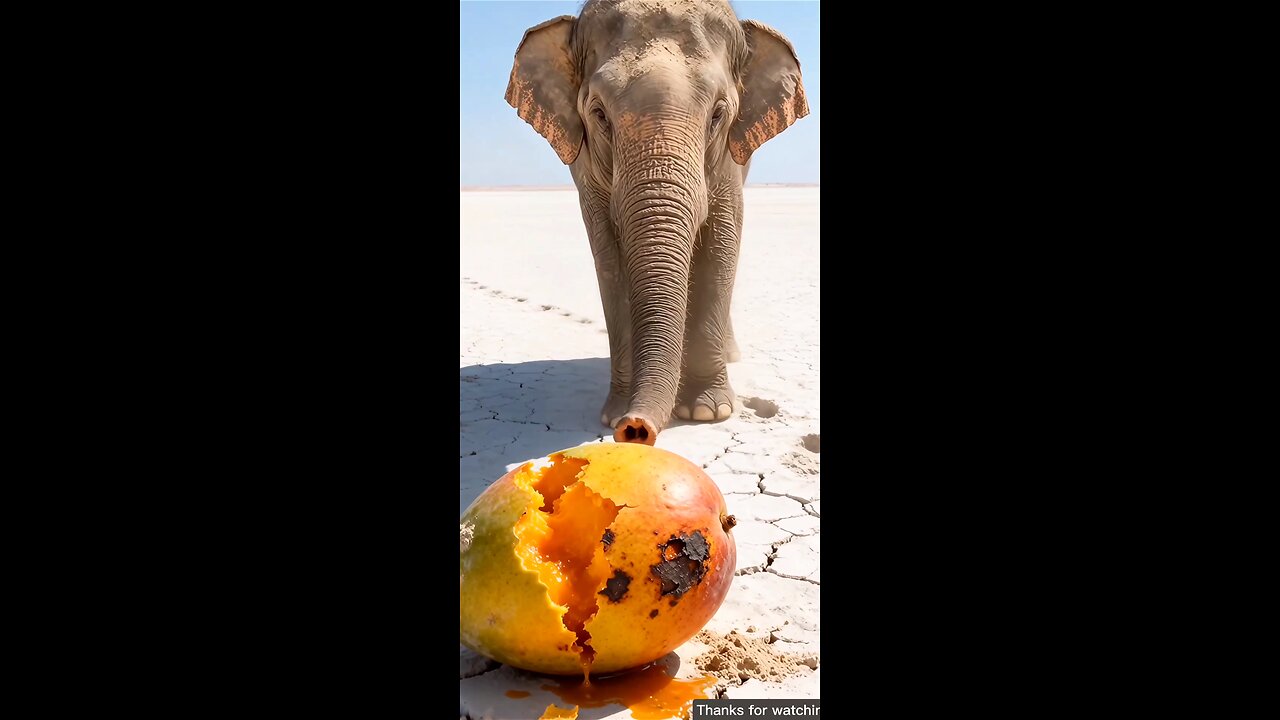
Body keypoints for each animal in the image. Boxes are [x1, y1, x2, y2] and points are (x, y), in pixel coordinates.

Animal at [505, 0, 808, 445]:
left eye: (718, 114)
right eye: (599, 114)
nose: (637, 429)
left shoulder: (729, 160)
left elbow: (722, 242)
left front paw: (708, 413)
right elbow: (608, 258)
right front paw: (615, 414)